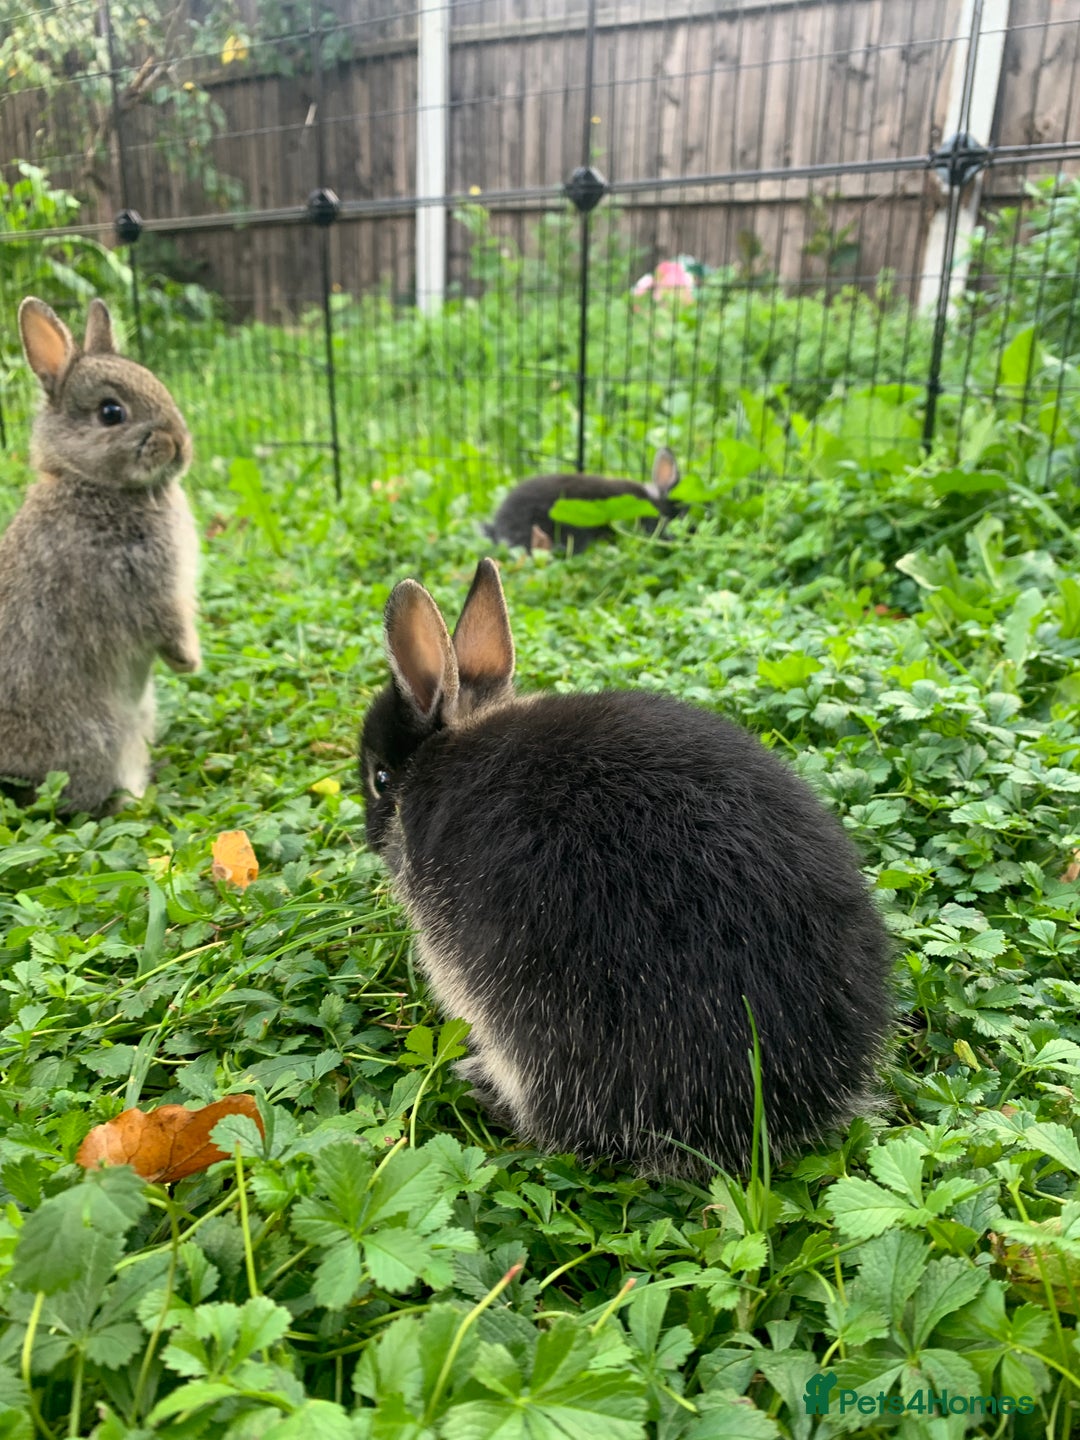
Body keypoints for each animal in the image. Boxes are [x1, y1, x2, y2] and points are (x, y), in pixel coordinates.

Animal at [0, 296, 201, 815]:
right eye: (111, 412)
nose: (179, 443)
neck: (89, 481)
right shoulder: (146, 588)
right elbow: (170, 626)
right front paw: (189, 663)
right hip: (100, 735)